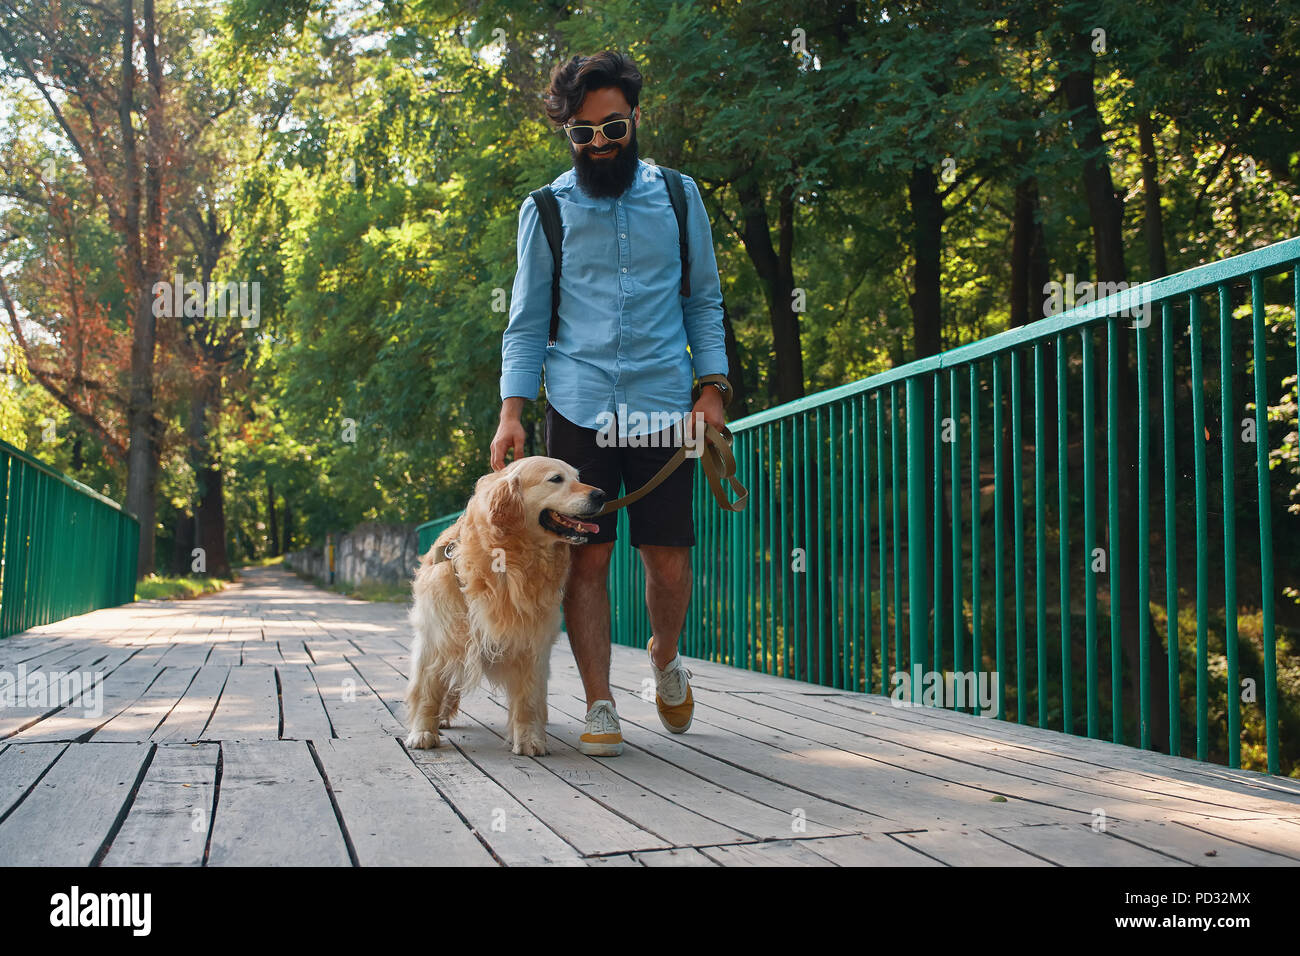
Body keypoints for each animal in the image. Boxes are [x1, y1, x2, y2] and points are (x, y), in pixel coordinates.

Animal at [405, 455, 603, 754]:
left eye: (578, 477)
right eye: (556, 479)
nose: (601, 495)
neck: (511, 562)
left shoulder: (532, 642)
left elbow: (528, 698)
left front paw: (529, 738)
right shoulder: (437, 636)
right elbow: (428, 689)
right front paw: (422, 731)